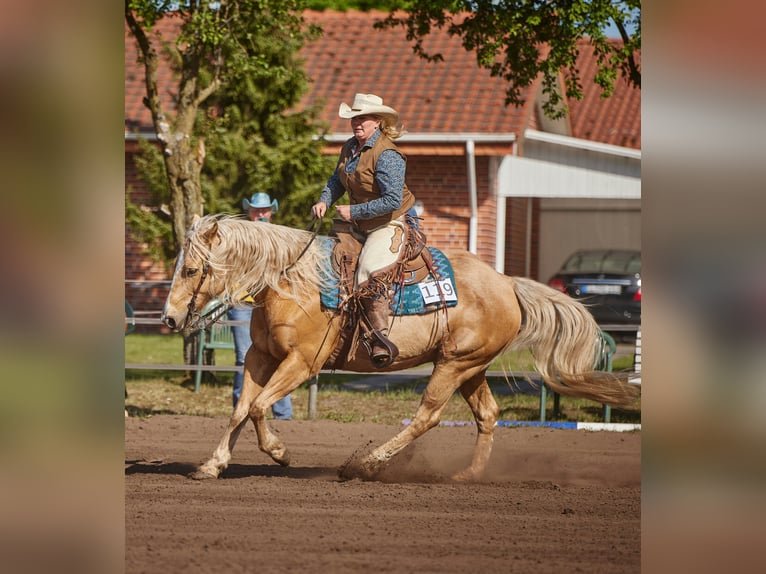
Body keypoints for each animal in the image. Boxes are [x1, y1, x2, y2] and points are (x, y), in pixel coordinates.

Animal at [161, 214, 638, 481]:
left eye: (191, 270)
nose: (168, 318)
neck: (291, 282)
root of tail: (507, 283)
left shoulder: (301, 363)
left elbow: (260, 407)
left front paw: (279, 453)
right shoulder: (260, 358)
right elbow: (241, 409)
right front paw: (212, 465)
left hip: (453, 365)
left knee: (428, 416)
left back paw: (367, 465)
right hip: (471, 367)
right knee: (487, 414)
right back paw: (468, 474)